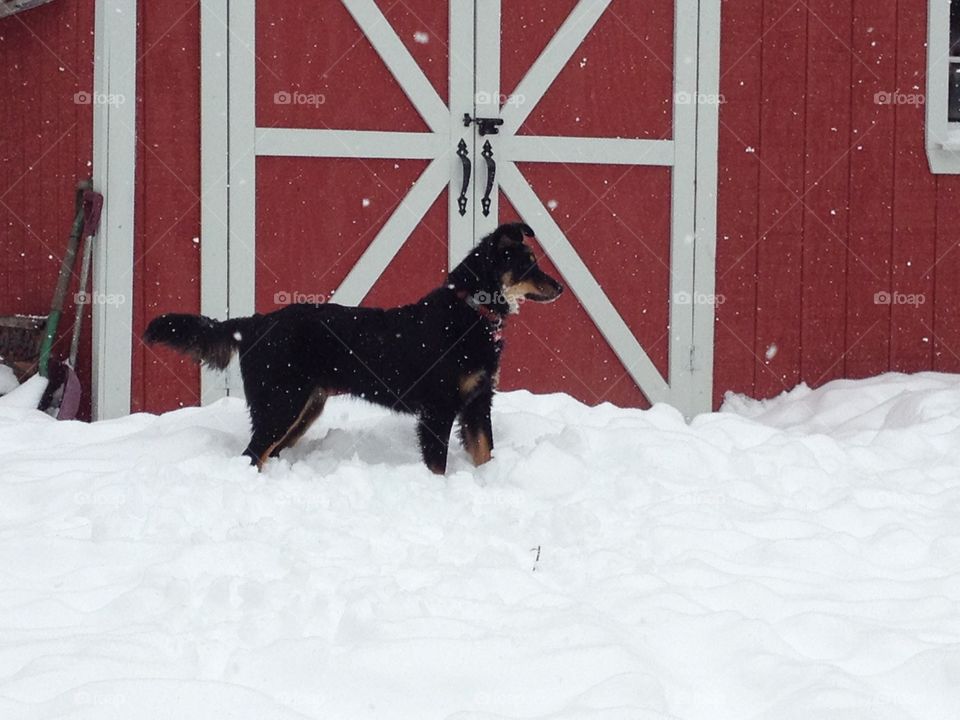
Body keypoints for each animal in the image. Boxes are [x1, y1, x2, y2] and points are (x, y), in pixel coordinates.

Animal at [143, 222, 564, 476]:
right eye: (528, 264)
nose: (560, 288)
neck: (471, 312)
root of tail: (252, 323)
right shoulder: (438, 409)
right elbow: (437, 465)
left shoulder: (478, 402)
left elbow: (485, 454)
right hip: (280, 404)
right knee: (252, 454)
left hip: (302, 408)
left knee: (264, 454)